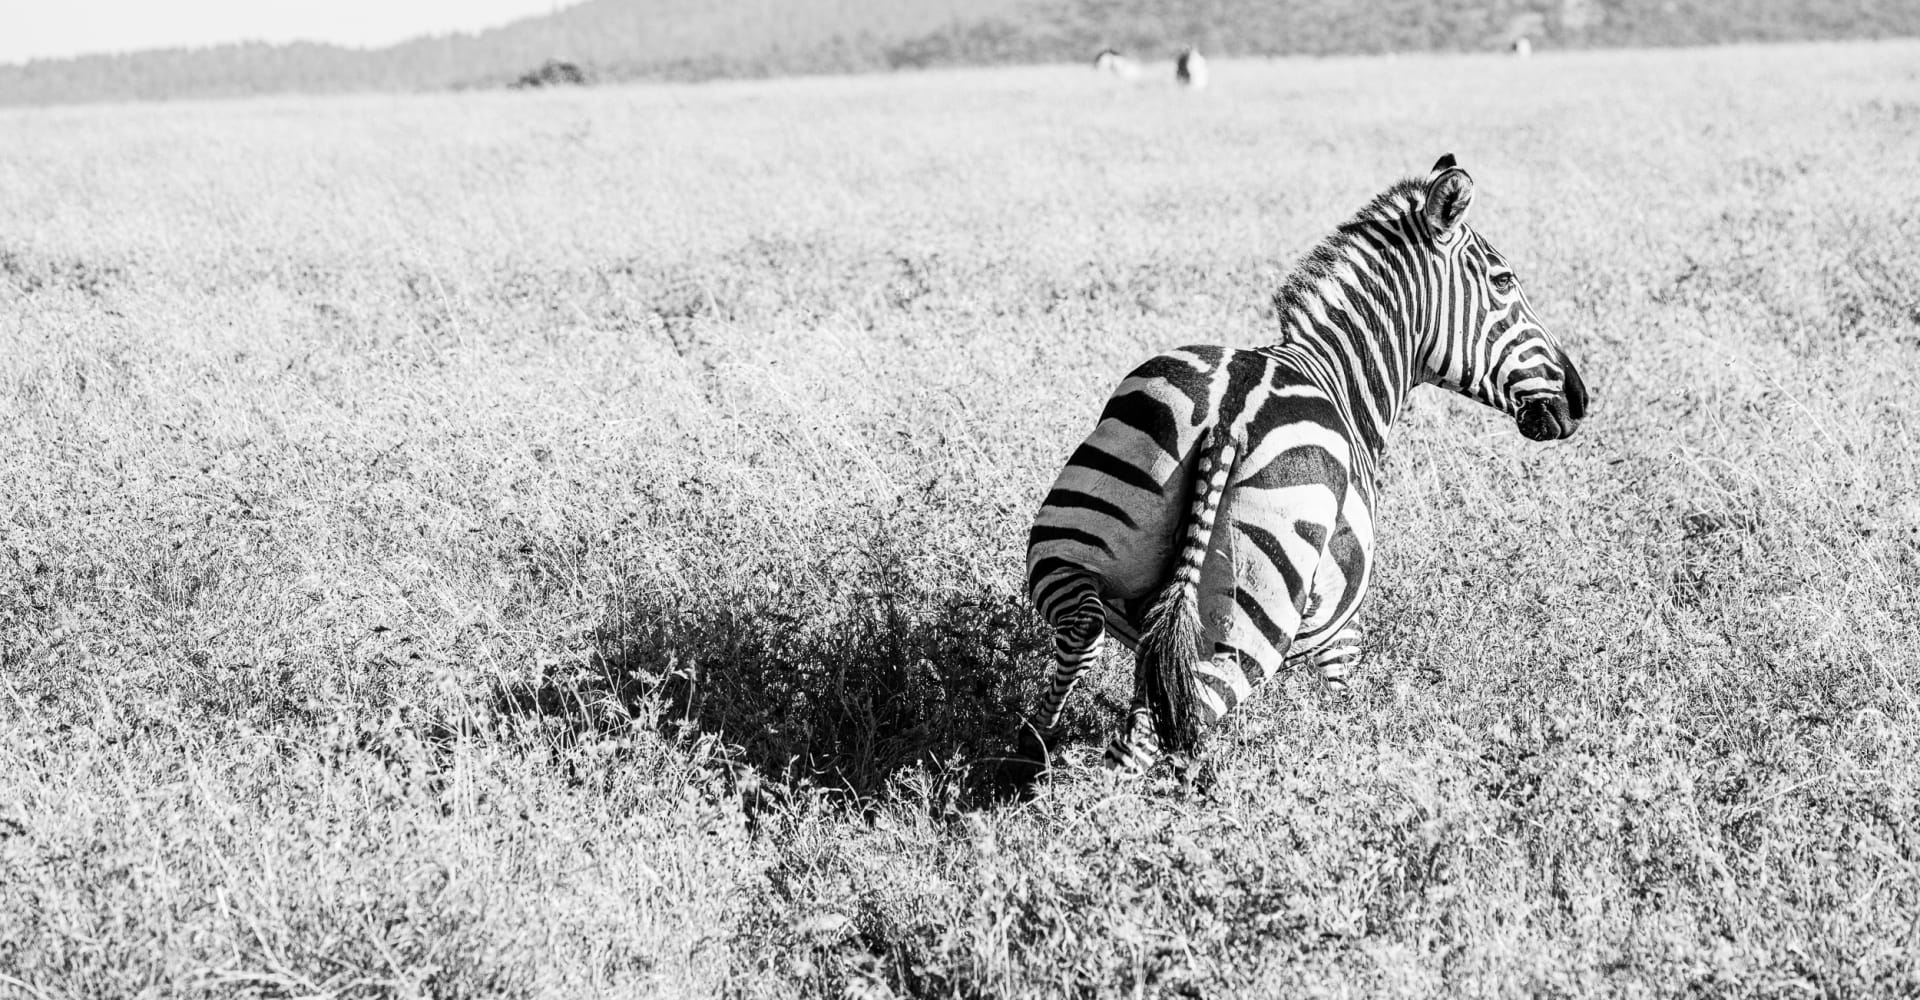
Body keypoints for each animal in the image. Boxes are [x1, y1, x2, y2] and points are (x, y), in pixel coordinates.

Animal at [1017, 154, 1587, 779]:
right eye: (1504, 281)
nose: (1578, 400)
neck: (1338, 375)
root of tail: (1229, 415)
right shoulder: (1339, 636)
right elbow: (1345, 705)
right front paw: (1348, 764)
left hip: (1071, 540)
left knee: (1084, 637)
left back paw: (1030, 754)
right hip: (1247, 625)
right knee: (1144, 736)